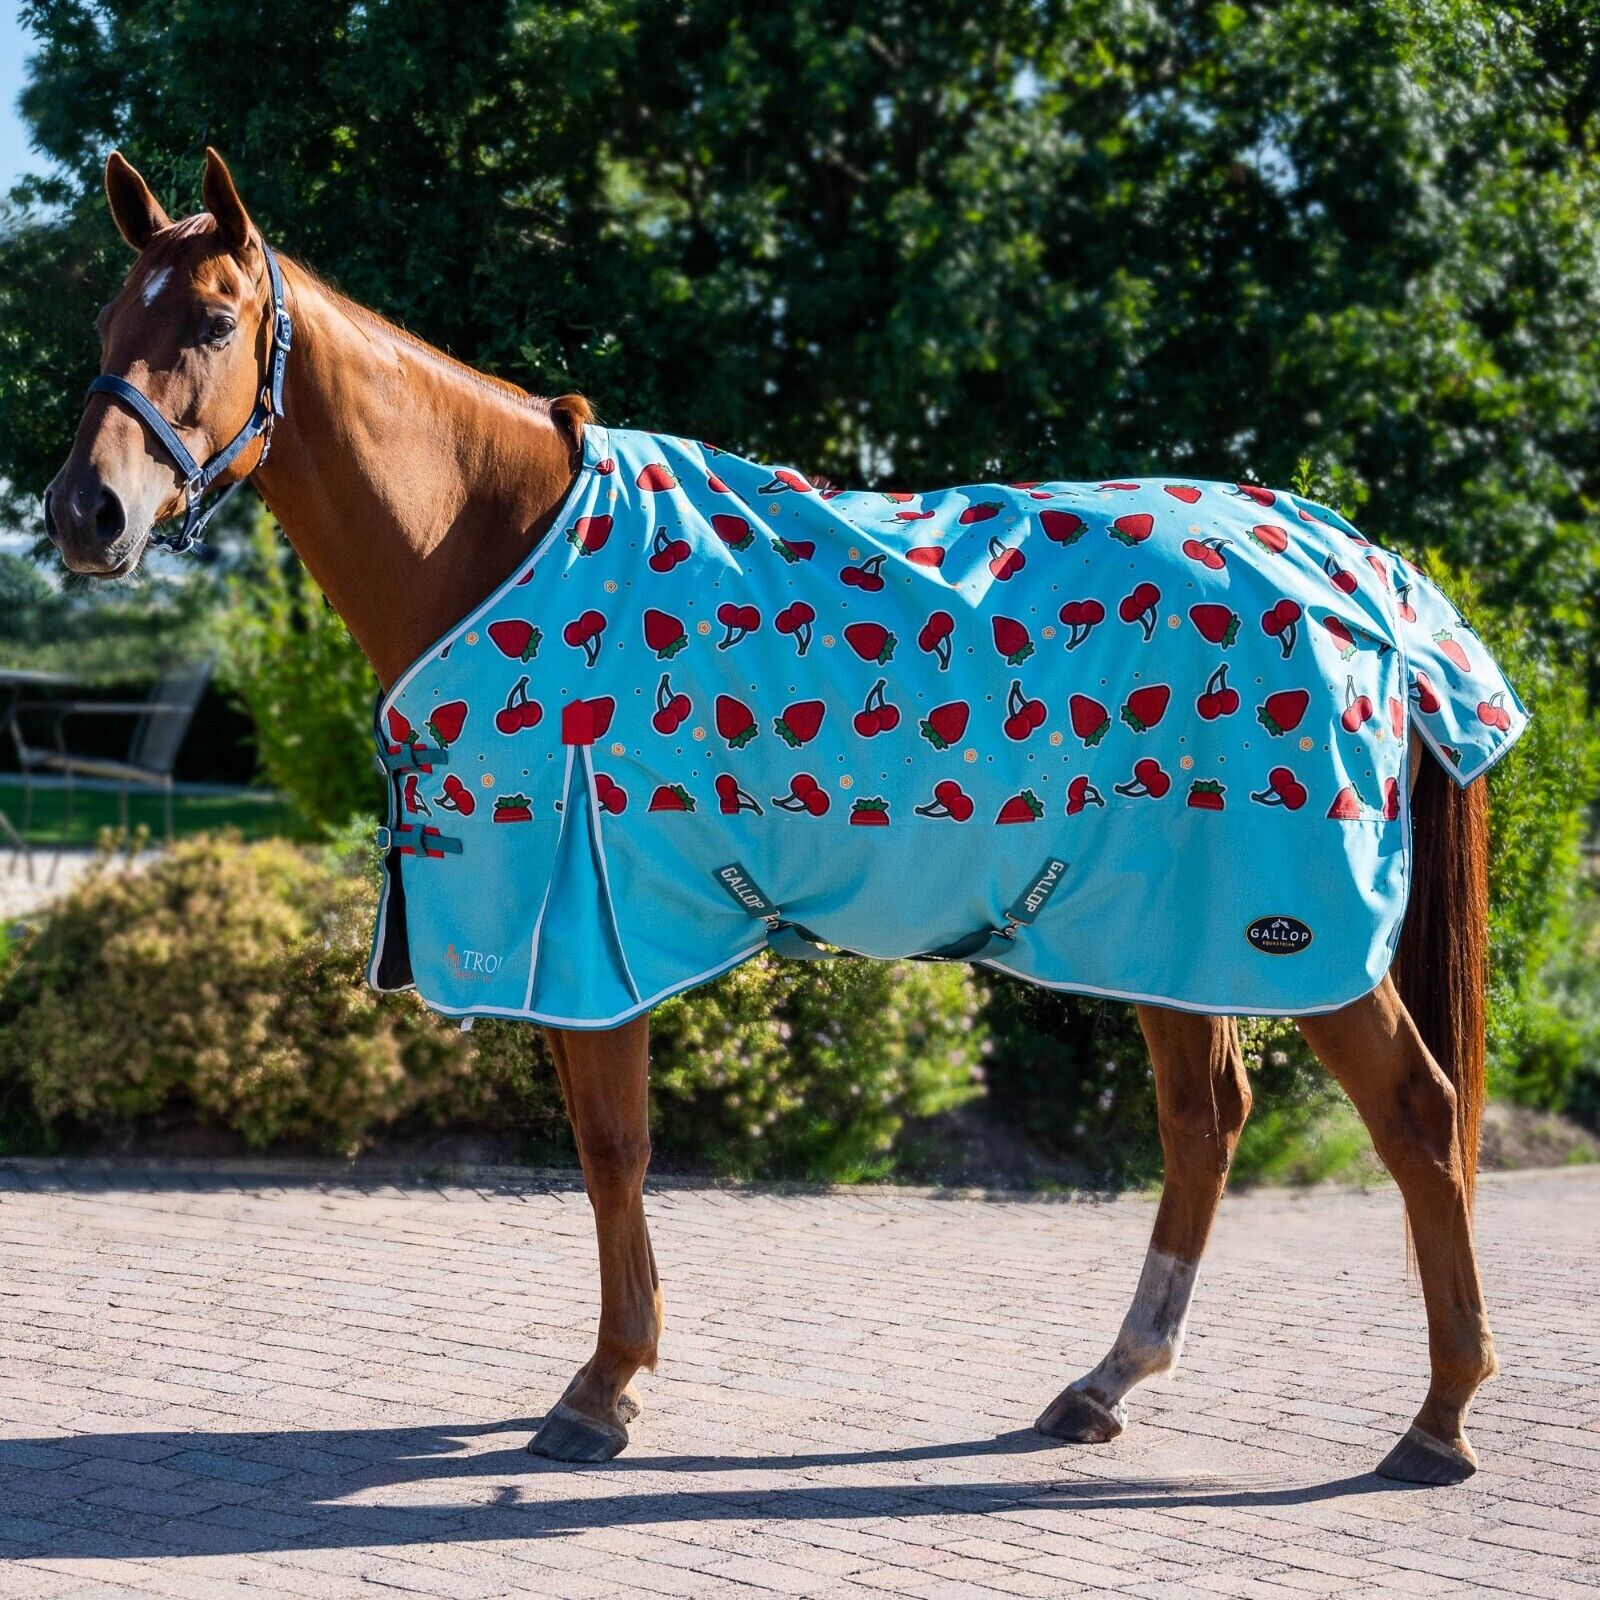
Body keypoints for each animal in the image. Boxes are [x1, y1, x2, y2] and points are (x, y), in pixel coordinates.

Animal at [45, 149, 1497, 1483]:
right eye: (106, 320)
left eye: (214, 320)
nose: (83, 513)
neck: (498, 539)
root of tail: (1357, 565)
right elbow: (615, 1153)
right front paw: (616, 1374)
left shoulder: (592, 934)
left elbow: (614, 1148)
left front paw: (602, 1389)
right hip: (1166, 932)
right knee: (1207, 1120)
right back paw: (1106, 1384)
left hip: (1288, 930)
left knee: (1417, 1118)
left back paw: (1438, 1420)